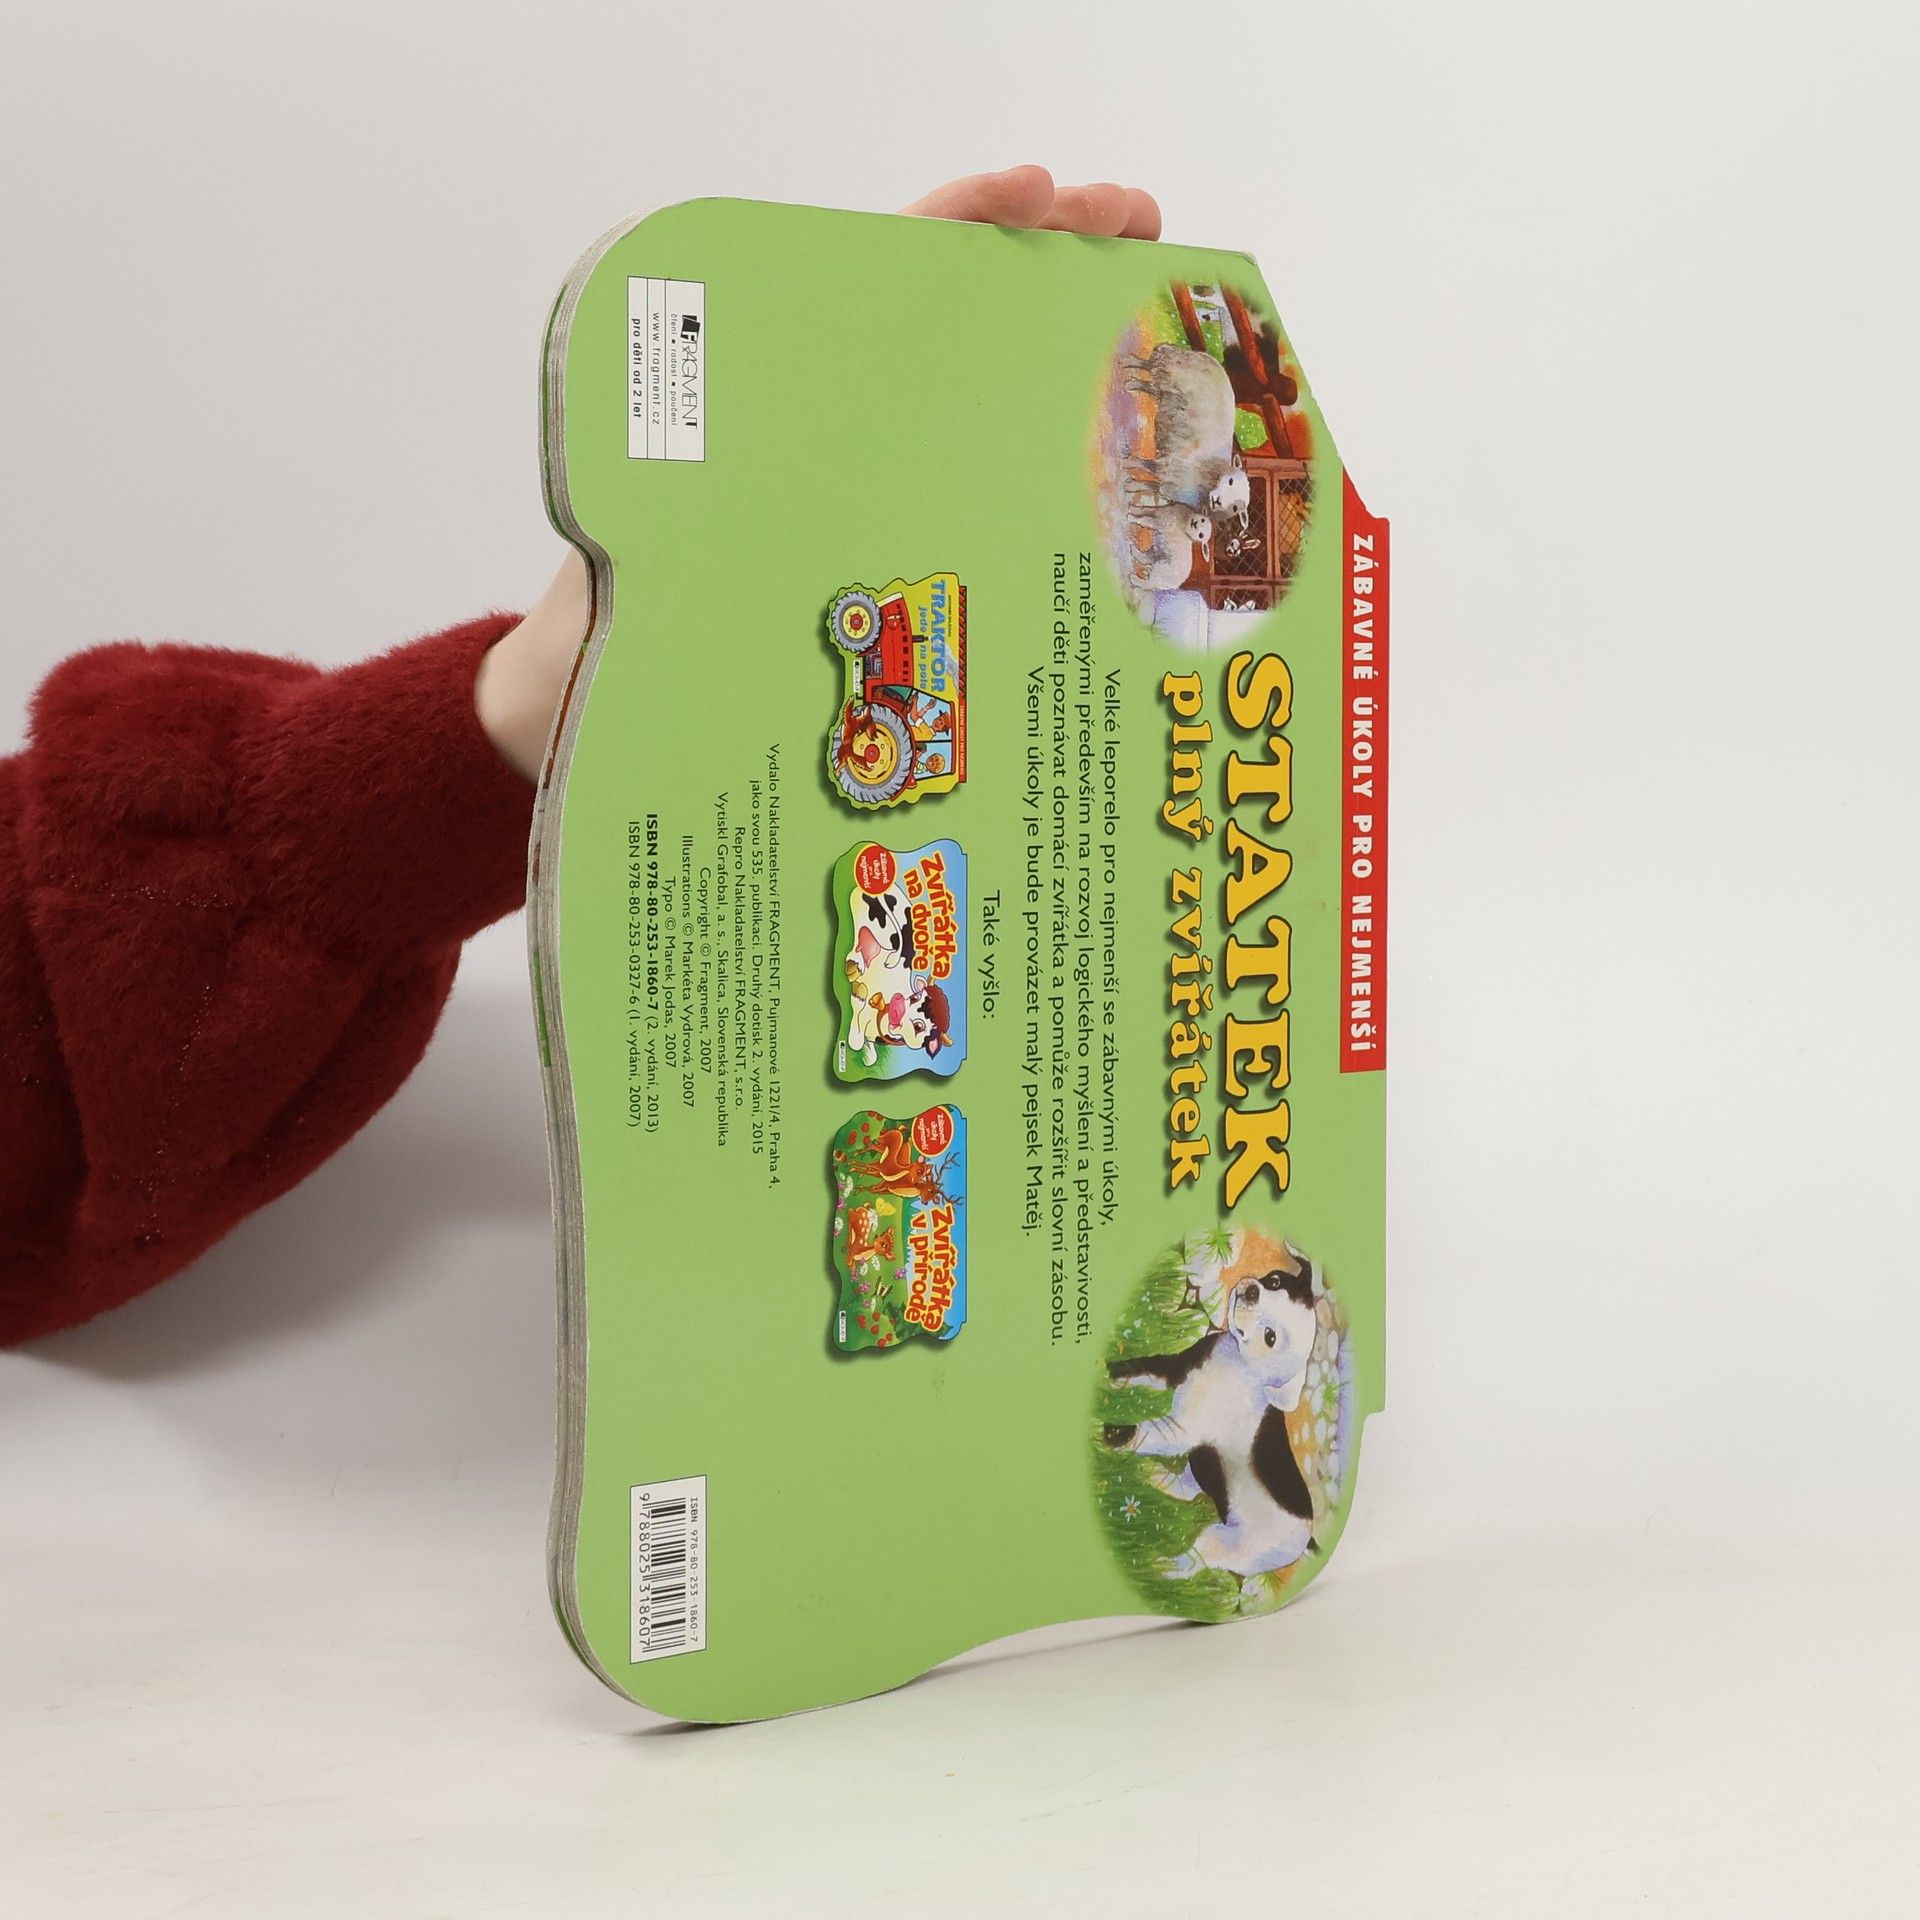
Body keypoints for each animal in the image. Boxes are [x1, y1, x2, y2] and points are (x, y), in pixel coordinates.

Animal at [1105, 1253, 1319, 1580]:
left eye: (1270, 1337)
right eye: (1274, 1281)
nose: (1251, 1292)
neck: (1241, 1365)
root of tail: (1307, 1537)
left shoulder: (1183, 1429)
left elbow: (1153, 1432)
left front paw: (1119, 1435)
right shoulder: (1171, 1373)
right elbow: (1136, 1371)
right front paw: (1109, 1372)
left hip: (1231, 1545)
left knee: (1196, 1559)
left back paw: (1156, 1568)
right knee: (1185, 1487)